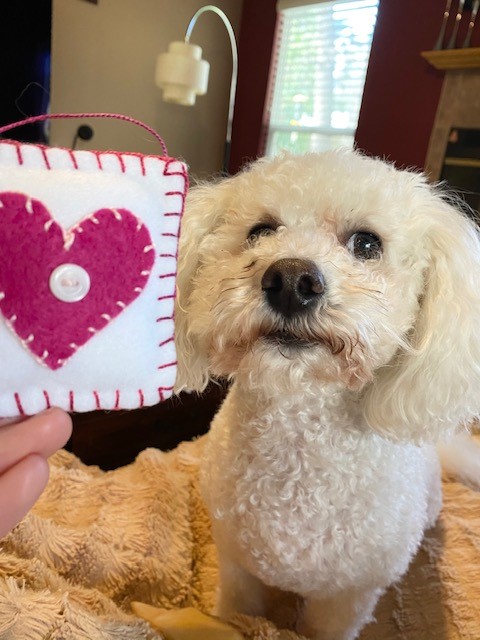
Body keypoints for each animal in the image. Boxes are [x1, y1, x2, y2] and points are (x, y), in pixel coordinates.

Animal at [174, 151, 480, 640]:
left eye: (367, 244)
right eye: (260, 231)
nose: (290, 280)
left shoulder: (348, 597)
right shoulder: (237, 566)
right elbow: (236, 610)